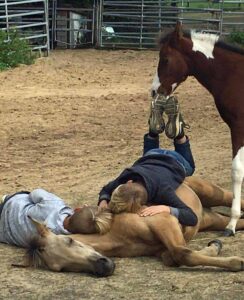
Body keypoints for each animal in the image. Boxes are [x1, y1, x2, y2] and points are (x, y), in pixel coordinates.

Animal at [26, 177, 244, 274]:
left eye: (69, 241)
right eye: (61, 268)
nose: (104, 266)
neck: (116, 233)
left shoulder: (164, 221)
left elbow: (183, 253)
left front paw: (236, 262)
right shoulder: (162, 249)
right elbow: (173, 256)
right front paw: (214, 246)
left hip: (213, 194)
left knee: (234, 199)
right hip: (210, 219)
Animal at [151, 22, 244, 236]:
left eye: (165, 58)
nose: (154, 90)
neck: (236, 76)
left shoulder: (238, 127)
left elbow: (237, 171)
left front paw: (232, 224)